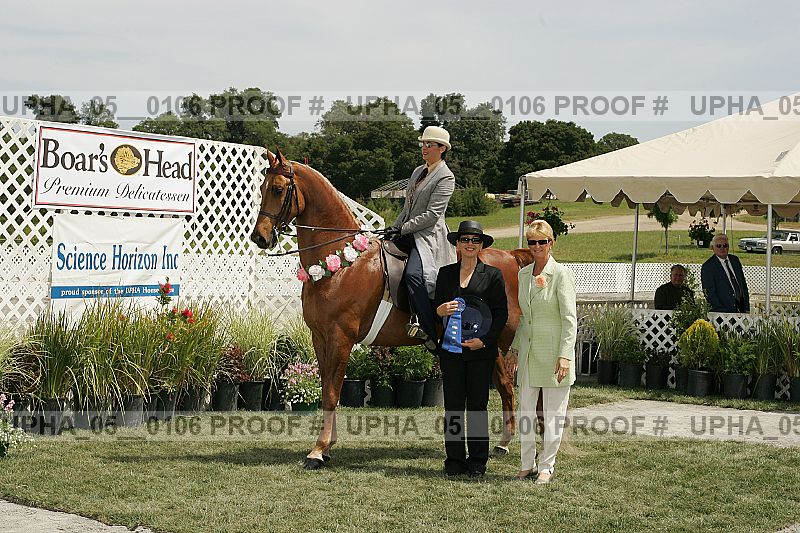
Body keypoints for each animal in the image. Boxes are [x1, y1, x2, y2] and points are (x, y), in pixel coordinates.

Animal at [251, 150, 532, 469]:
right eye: (262, 188)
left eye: (278, 189)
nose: (259, 238)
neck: (340, 264)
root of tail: (509, 256)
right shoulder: (319, 337)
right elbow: (325, 389)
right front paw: (327, 446)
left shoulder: (340, 337)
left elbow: (333, 392)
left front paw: (318, 451)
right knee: (503, 387)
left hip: (498, 342)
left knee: (515, 386)